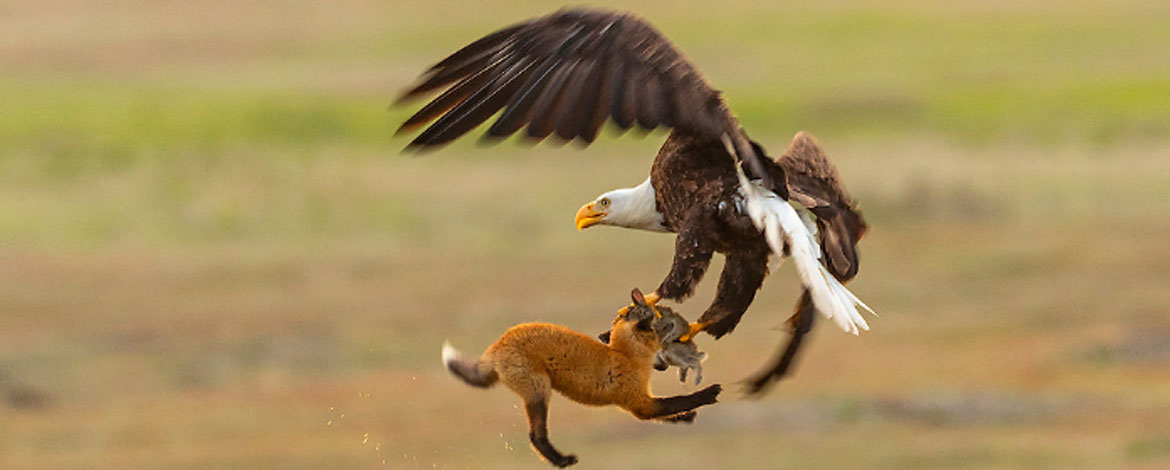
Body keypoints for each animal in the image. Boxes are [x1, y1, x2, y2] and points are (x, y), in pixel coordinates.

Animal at [442, 288, 720, 467]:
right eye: (659, 331)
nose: (664, 362)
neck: (625, 356)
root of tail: (498, 344)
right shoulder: (638, 402)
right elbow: (677, 401)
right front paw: (709, 393)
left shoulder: (641, 403)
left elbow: (667, 413)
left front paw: (685, 418)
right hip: (539, 391)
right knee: (535, 436)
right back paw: (561, 461)